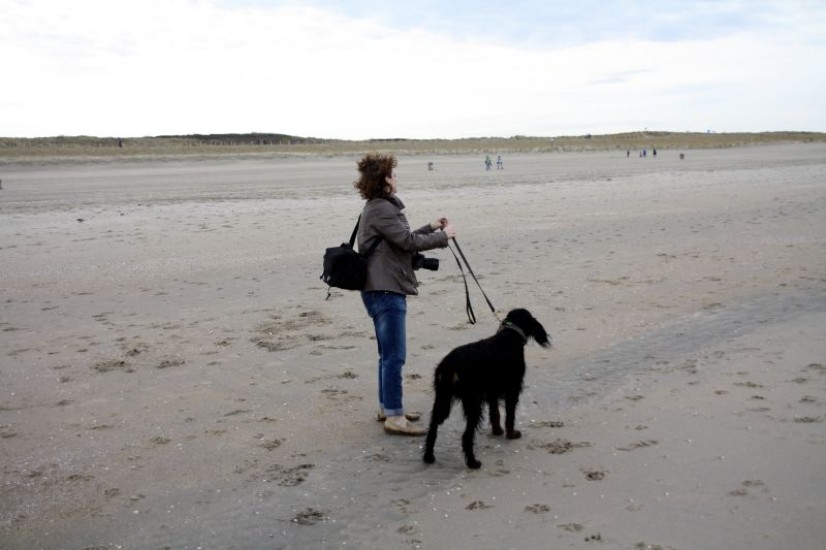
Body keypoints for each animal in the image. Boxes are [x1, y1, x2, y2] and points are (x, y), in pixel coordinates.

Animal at [423, 308, 551, 469]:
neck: (509, 337)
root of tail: (449, 367)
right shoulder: (512, 390)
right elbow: (510, 416)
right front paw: (511, 434)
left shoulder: (492, 392)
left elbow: (495, 413)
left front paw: (497, 431)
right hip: (472, 402)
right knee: (467, 435)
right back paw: (473, 462)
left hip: (442, 398)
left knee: (433, 427)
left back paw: (428, 456)